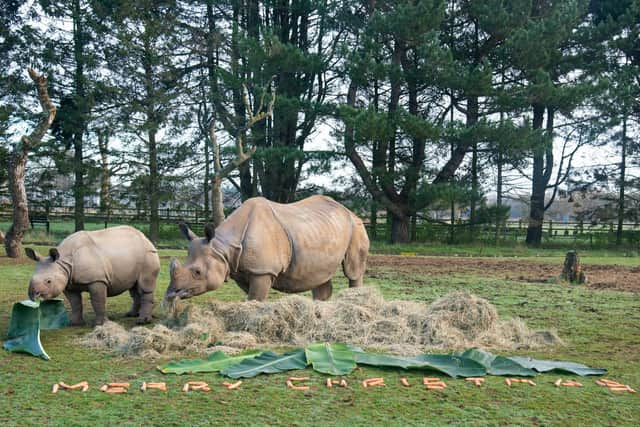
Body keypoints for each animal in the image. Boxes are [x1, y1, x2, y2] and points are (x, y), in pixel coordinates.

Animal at [27, 226, 161, 326]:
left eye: (48, 281)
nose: (33, 296)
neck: (63, 262)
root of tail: (146, 238)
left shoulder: (97, 280)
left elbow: (98, 300)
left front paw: (100, 324)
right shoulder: (68, 282)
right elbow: (75, 302)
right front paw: (75, 323)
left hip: (148, 254)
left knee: (144, 286)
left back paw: (142, 321)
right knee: (133, 287)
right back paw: (131, 314)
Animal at [165, 196, 370, 300]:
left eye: (198, 272)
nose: (170, 295)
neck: (222, 247)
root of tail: (349, 211)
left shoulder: (262, 270)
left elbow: (255, 298)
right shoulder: (243, 269)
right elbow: (252, 298)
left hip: (357, 227)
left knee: (353, 270)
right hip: (321, 230)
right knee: (319, 275)